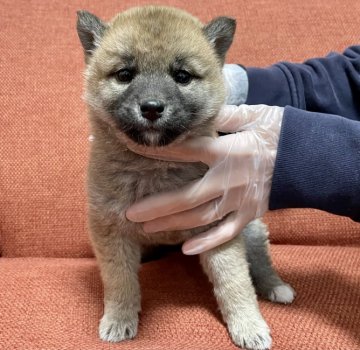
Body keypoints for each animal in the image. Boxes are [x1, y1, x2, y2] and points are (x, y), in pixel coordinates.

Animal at [77, 6, 294, 350]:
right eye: (125, 74)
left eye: (182, 76)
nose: (152, 107)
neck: (154, 166)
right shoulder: (110, 230)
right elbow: (120, 282)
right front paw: (119, 318)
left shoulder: (218, 228)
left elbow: (234, 282)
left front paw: (248, 324)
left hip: (250, 229)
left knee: (260, 262)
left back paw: (276, 287)